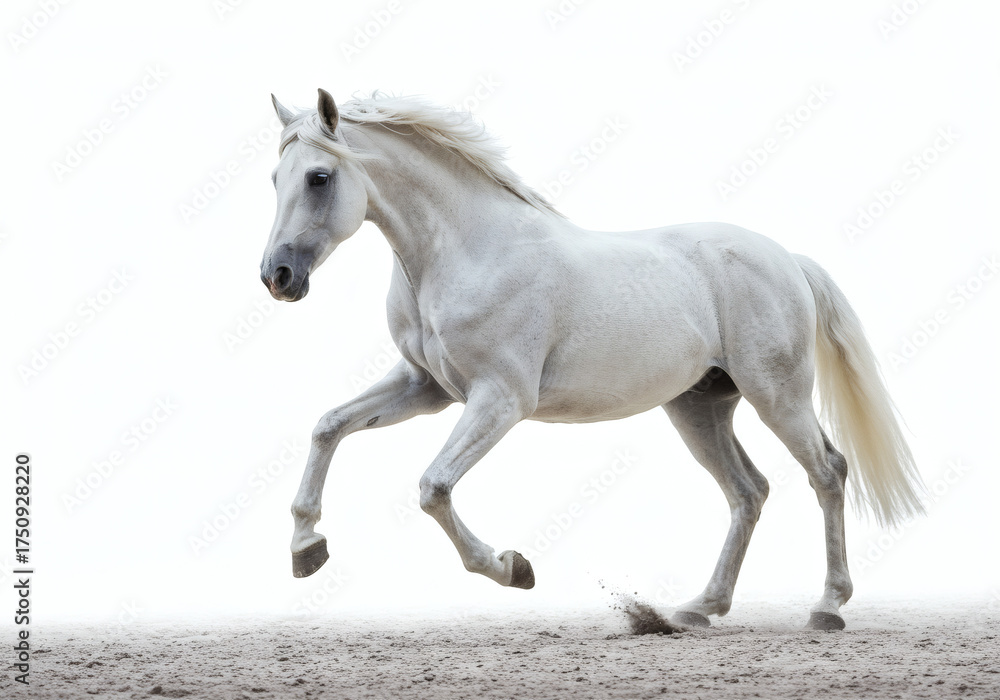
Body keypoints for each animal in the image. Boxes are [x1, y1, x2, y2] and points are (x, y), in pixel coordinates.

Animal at [259, 89, 925, 631]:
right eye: (274, 178)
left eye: (318, 177)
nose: (277, 276)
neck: (469, 250)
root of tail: (786, 258)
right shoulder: (424, 388)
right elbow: (328, 426)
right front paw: (306, 548)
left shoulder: (501, 398)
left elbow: (433, 487)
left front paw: (512, 568)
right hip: (700, 407)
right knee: (748, 492)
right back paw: (698, 609)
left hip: (777, 396)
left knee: (827, 472)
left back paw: (826, 607)